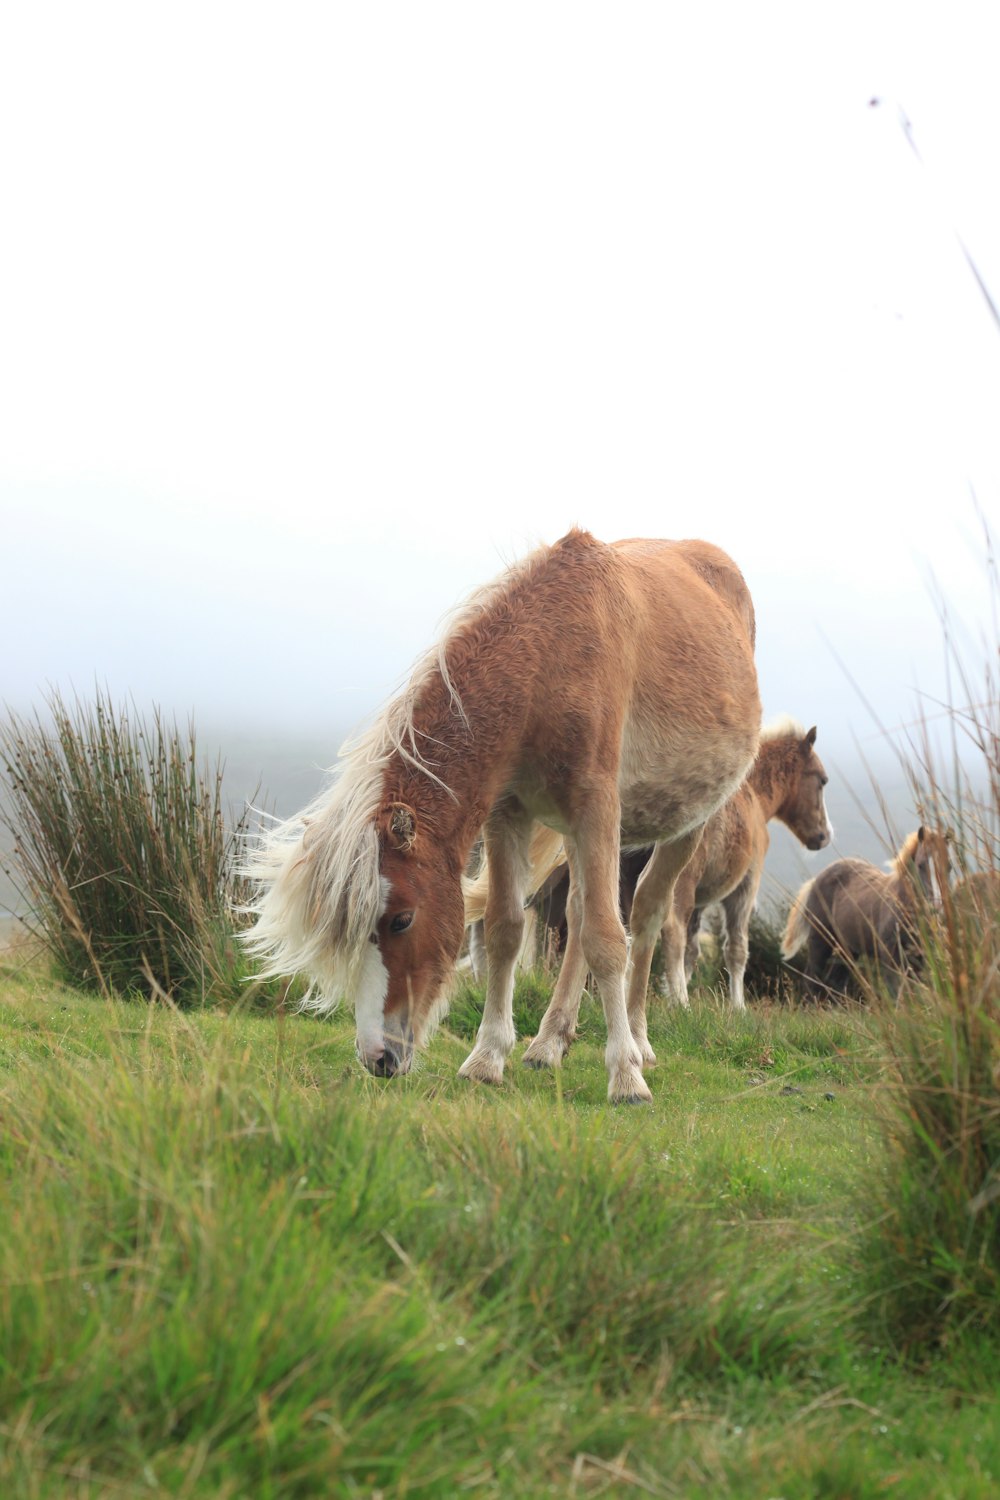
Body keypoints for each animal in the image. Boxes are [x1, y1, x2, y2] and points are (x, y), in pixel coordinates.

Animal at [244, 528, 758, 1104]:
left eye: (402, 919)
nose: (378, 1057)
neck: (550, 657)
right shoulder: (508, 813)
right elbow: (506, 930)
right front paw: (488, 1056)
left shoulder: (597, 808)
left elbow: (608, 939)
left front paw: (625, 1075)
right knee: (579, 913)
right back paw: (549, 1042)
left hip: (683, 826)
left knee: (645, 915)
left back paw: (640, 1042)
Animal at [779, 828, 953, 1002]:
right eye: (921, 865)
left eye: (949, 866)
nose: (936, 906)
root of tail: (816, 879)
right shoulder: (889, 953)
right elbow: (895, 989)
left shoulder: (920, 956)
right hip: (821, 939)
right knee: (812, 976)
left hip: (847, 947)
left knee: (835, 978)